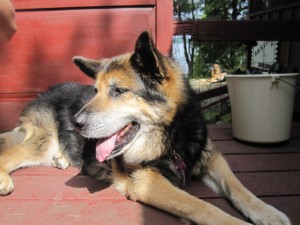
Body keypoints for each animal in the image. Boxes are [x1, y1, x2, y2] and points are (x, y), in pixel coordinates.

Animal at [0, 30, 290, 224]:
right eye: (95, 91)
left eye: (118, 91)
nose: (76, 122)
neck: (172, 134)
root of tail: (43, 93)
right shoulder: (147, 181)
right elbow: (201, 206)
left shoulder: (211, 156)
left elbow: (239, 188)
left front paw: (268, 212)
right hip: (42, 141)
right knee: (10, 154)